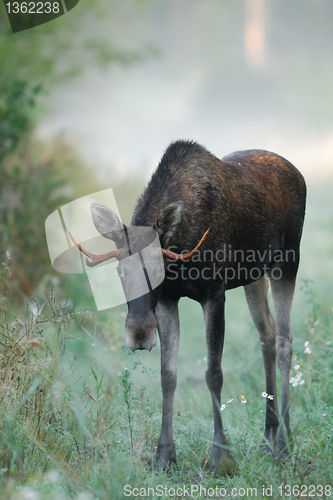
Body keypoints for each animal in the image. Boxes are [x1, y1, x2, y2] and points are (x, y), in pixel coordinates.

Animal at [70, 139, 306, 466]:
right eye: (119, 271)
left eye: (158, 269)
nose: (139, 333)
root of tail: (297, 172)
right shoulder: (168, 300)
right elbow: (168, 375)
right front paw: (164, 455)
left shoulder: (214, 293)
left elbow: (213, 373)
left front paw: (221, 455)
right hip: (255, 275)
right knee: (267, 336)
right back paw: (268, 436)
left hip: (287, 261)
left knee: (285, 340)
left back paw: (284, 441)